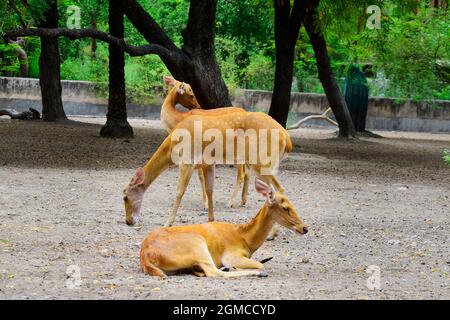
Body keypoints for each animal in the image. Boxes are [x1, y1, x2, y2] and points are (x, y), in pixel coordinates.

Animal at [141, 178, 310, 278]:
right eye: (286, 208)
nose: (305, 228)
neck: (245, 240)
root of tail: (146, 256)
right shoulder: (231, 255)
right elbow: (260, 263)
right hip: (198, 245)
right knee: (214, 272)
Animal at [159, 76, 251, 209]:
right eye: (191, 94)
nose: (198, 106)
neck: (179, 119)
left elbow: (201, 177)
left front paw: (206, 203)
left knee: (241, 175)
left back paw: (230, 202)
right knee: (248, 172)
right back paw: (242, 201)